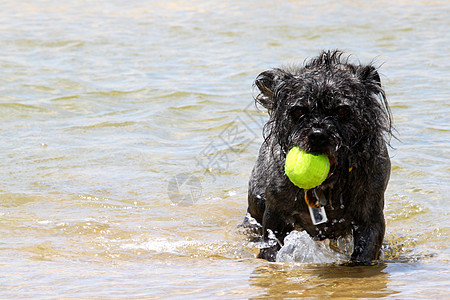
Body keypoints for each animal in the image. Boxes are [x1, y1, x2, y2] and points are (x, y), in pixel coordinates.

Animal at [244, 49, 392, 264]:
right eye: (298, 111)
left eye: (342, 110)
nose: (317, 134)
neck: (328, 188)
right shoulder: (274, 219)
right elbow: (270, 246)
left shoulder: (370, 220)